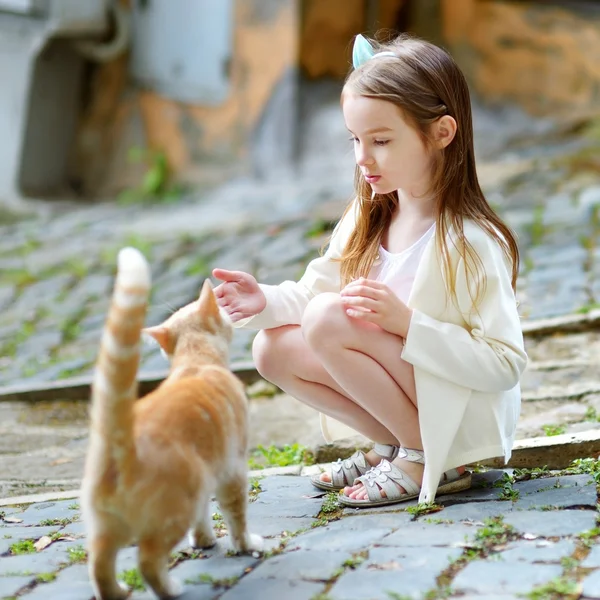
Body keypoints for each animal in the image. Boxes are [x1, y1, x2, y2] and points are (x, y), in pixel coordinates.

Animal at [82, 246, 262, 596]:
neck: (195, 362)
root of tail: (118, 443)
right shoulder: (232, 468)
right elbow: (236, 515)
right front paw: (246, 544)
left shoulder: (212, 469)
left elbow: (205, 516)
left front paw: (204, 540)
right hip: (177, 507)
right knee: (148, 561)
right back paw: (171, 588)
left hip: (104, 528)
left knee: (98, 566)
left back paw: (117, 592)